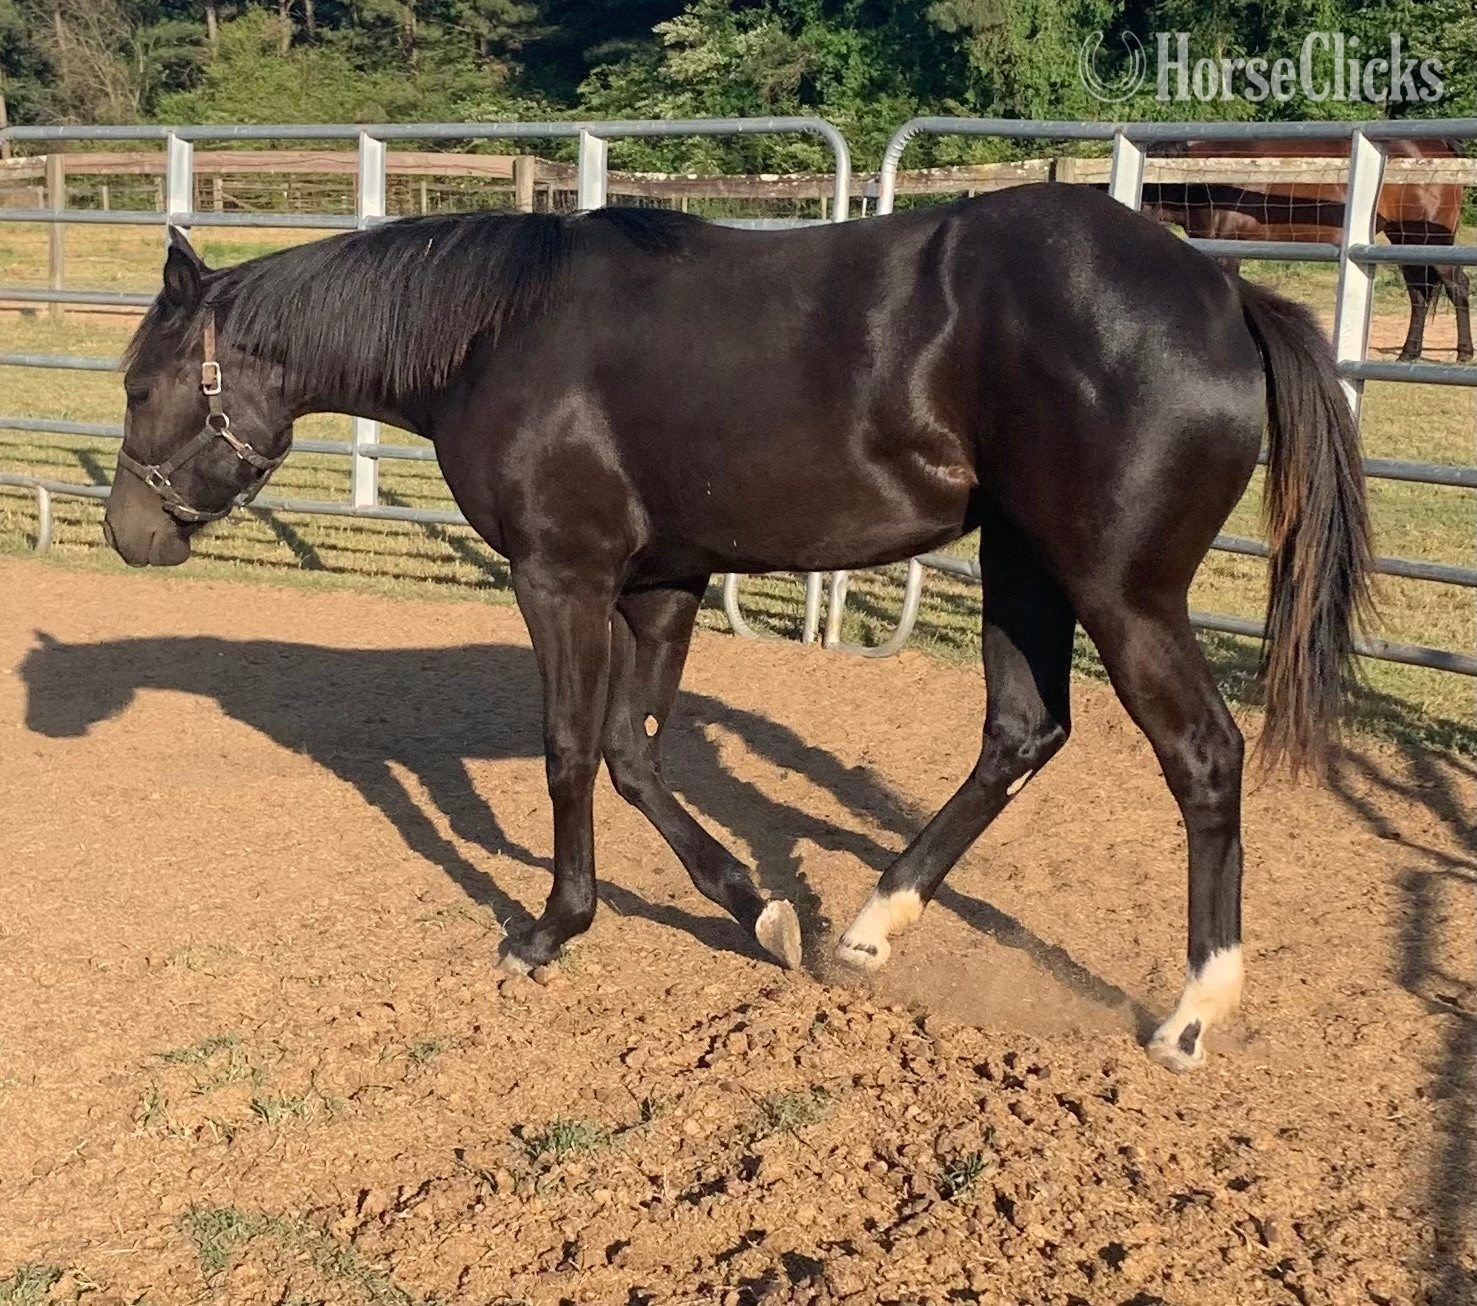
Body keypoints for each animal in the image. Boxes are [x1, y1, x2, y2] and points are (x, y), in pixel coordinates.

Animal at [102, 187, 1372, 1072]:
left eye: (138, 387)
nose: (127, 534)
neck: (498, 336)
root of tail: (1225, 294)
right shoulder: (663, 582)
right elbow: (632, 755)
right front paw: (756, 908)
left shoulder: (560, 578)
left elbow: (572, 754)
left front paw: (549, 930)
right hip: (1021, 564)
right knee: (1021, 730)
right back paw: (866, 930)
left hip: (1119, 591)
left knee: (1201, 756)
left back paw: (1192, 1013)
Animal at [1142, 138, 1473, 364]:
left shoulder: (1227, 250)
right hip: (1404, 238)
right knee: (1419, 293)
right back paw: (1408, 353)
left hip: (1431, 239)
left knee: (1457, 285)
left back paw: (1464, 353)